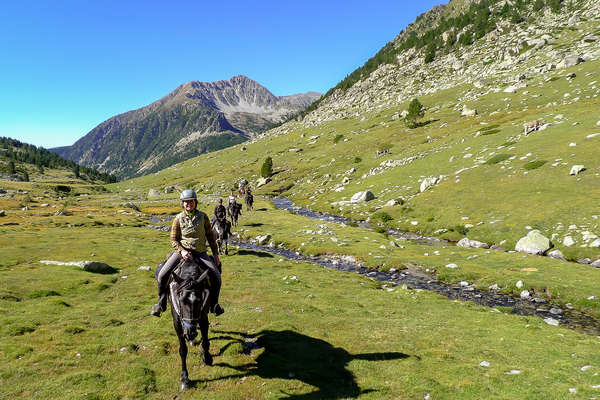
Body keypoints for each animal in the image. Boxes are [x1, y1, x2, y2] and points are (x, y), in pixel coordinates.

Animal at [158, 256, 214, 390]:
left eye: (201, 299)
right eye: (180, 300)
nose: (191, 332)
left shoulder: (203, 318)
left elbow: (205, 342)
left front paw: (207, 358)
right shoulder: (177, 323)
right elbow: (183, 350)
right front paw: (184, 378)